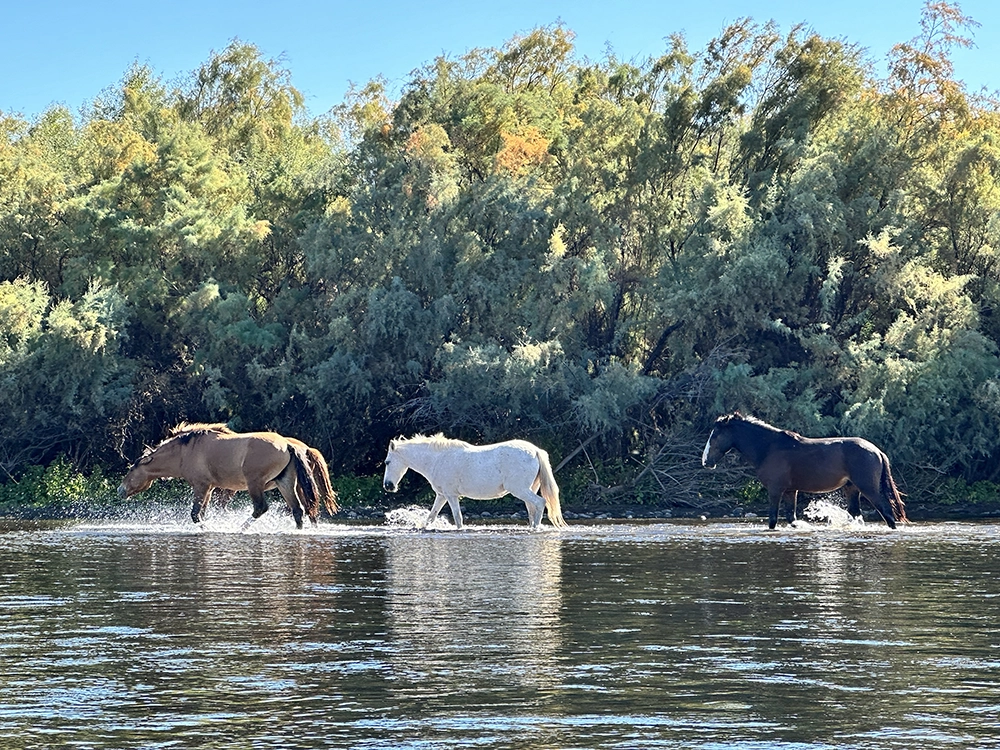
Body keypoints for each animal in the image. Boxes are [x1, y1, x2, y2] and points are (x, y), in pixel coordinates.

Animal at [118, 424, 338, 528]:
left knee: (261, 508)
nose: (120, 489)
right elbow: (201, 513)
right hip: (285, 483)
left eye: (131, 469)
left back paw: (240, 528)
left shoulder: (201, 486)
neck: (186, 451)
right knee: (299, 510)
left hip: (255, 483)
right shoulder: (210, 488)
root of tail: (289, 445)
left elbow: (196, 515)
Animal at [380, 432, 568, 532]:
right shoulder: (441, 496)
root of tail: (535, 450)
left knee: (540, 503)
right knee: (532, 509)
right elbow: (431, 517)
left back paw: (535, 528)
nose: (388, 486)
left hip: (520, 490)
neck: (437, 459)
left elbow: (458, 518)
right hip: (529, 490)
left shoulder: (451, 496)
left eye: (387, 462)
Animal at [704, 414, 908, 532]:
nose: (706, 461)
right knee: (857, 515)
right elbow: (791, 518)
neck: (768, 448)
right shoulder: (790, 491)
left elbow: (773, 520)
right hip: (852, 489)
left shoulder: (775, 490)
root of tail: (877, 451)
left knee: (887, 512)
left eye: (715, 436)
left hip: (868, 488)